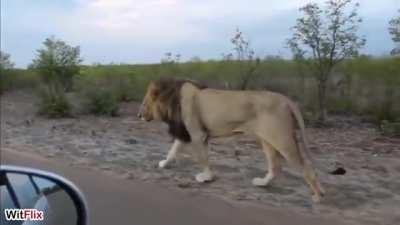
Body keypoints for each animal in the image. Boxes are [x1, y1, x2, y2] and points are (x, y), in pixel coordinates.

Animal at [138, 77, 324, 202]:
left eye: (145, 103)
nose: (138, 115)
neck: (172, 99)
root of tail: (285, 99)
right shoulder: (186, 132)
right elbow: (173, 150)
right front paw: (164, 164)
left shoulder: (197, 134)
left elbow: (202, 158)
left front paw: (206, 177)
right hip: (267, 140)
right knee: (276, 166)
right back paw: (262, 183)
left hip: (281, 139)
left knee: (306, 166)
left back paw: (317, 196)